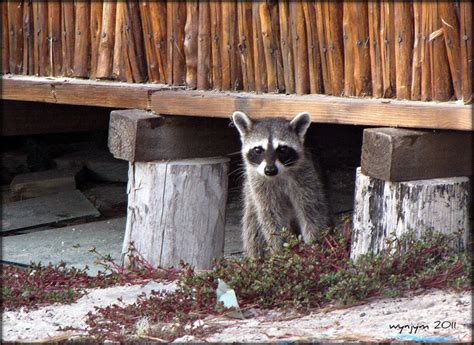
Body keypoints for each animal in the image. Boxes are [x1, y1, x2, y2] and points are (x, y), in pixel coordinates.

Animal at [232, 110, 330, 255]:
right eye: (258, 150)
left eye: (282, 149)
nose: (270, 170)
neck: (278, 175)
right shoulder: (259, 186)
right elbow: (271, 218)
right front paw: (279, 250)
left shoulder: (307, 178)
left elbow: (311, 212)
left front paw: (314, 245)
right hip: (250, 195)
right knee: (252, 225)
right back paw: (256, 256)